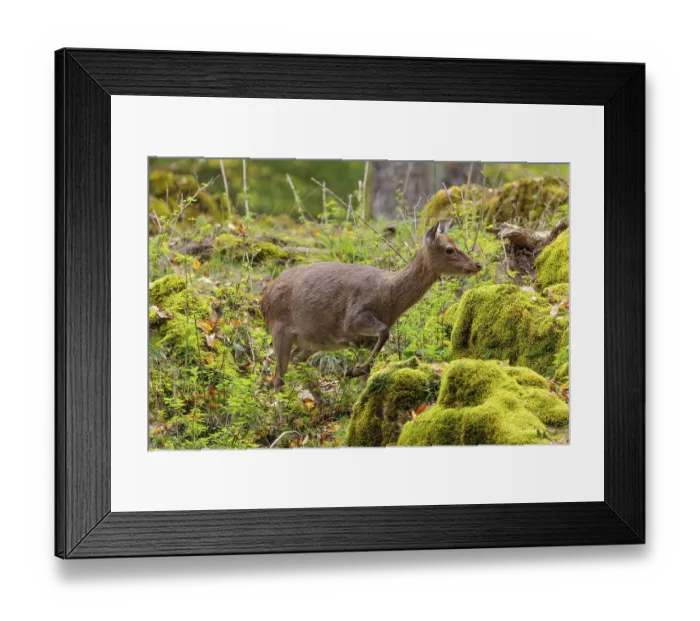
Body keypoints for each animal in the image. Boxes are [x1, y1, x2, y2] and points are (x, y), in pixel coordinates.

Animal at [261, 220, 482, 391]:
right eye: (449, 249)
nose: (477, 264)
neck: (388, 298)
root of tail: (264, 300)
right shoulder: (354, 318)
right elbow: (384, 332)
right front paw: (354, 370)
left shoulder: (361, 341)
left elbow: (366, 374)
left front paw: (358, 386)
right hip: (280, 330)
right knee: (279, 377)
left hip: (312, 340)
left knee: (296, 360)